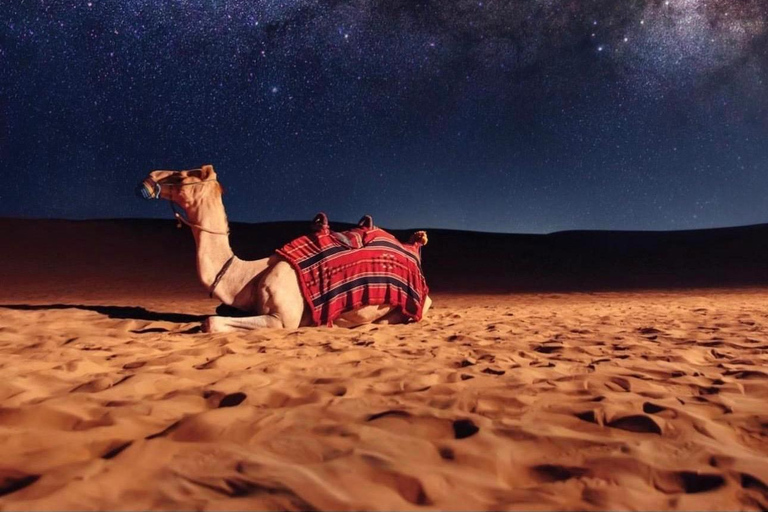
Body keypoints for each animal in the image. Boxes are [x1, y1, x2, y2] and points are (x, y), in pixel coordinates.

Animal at [137, 165, 432, 332]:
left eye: (182, 176)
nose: (149, 177)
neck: (249, 277)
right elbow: (215, 314)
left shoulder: (282, 319)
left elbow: (210, 322)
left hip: (418, 302)